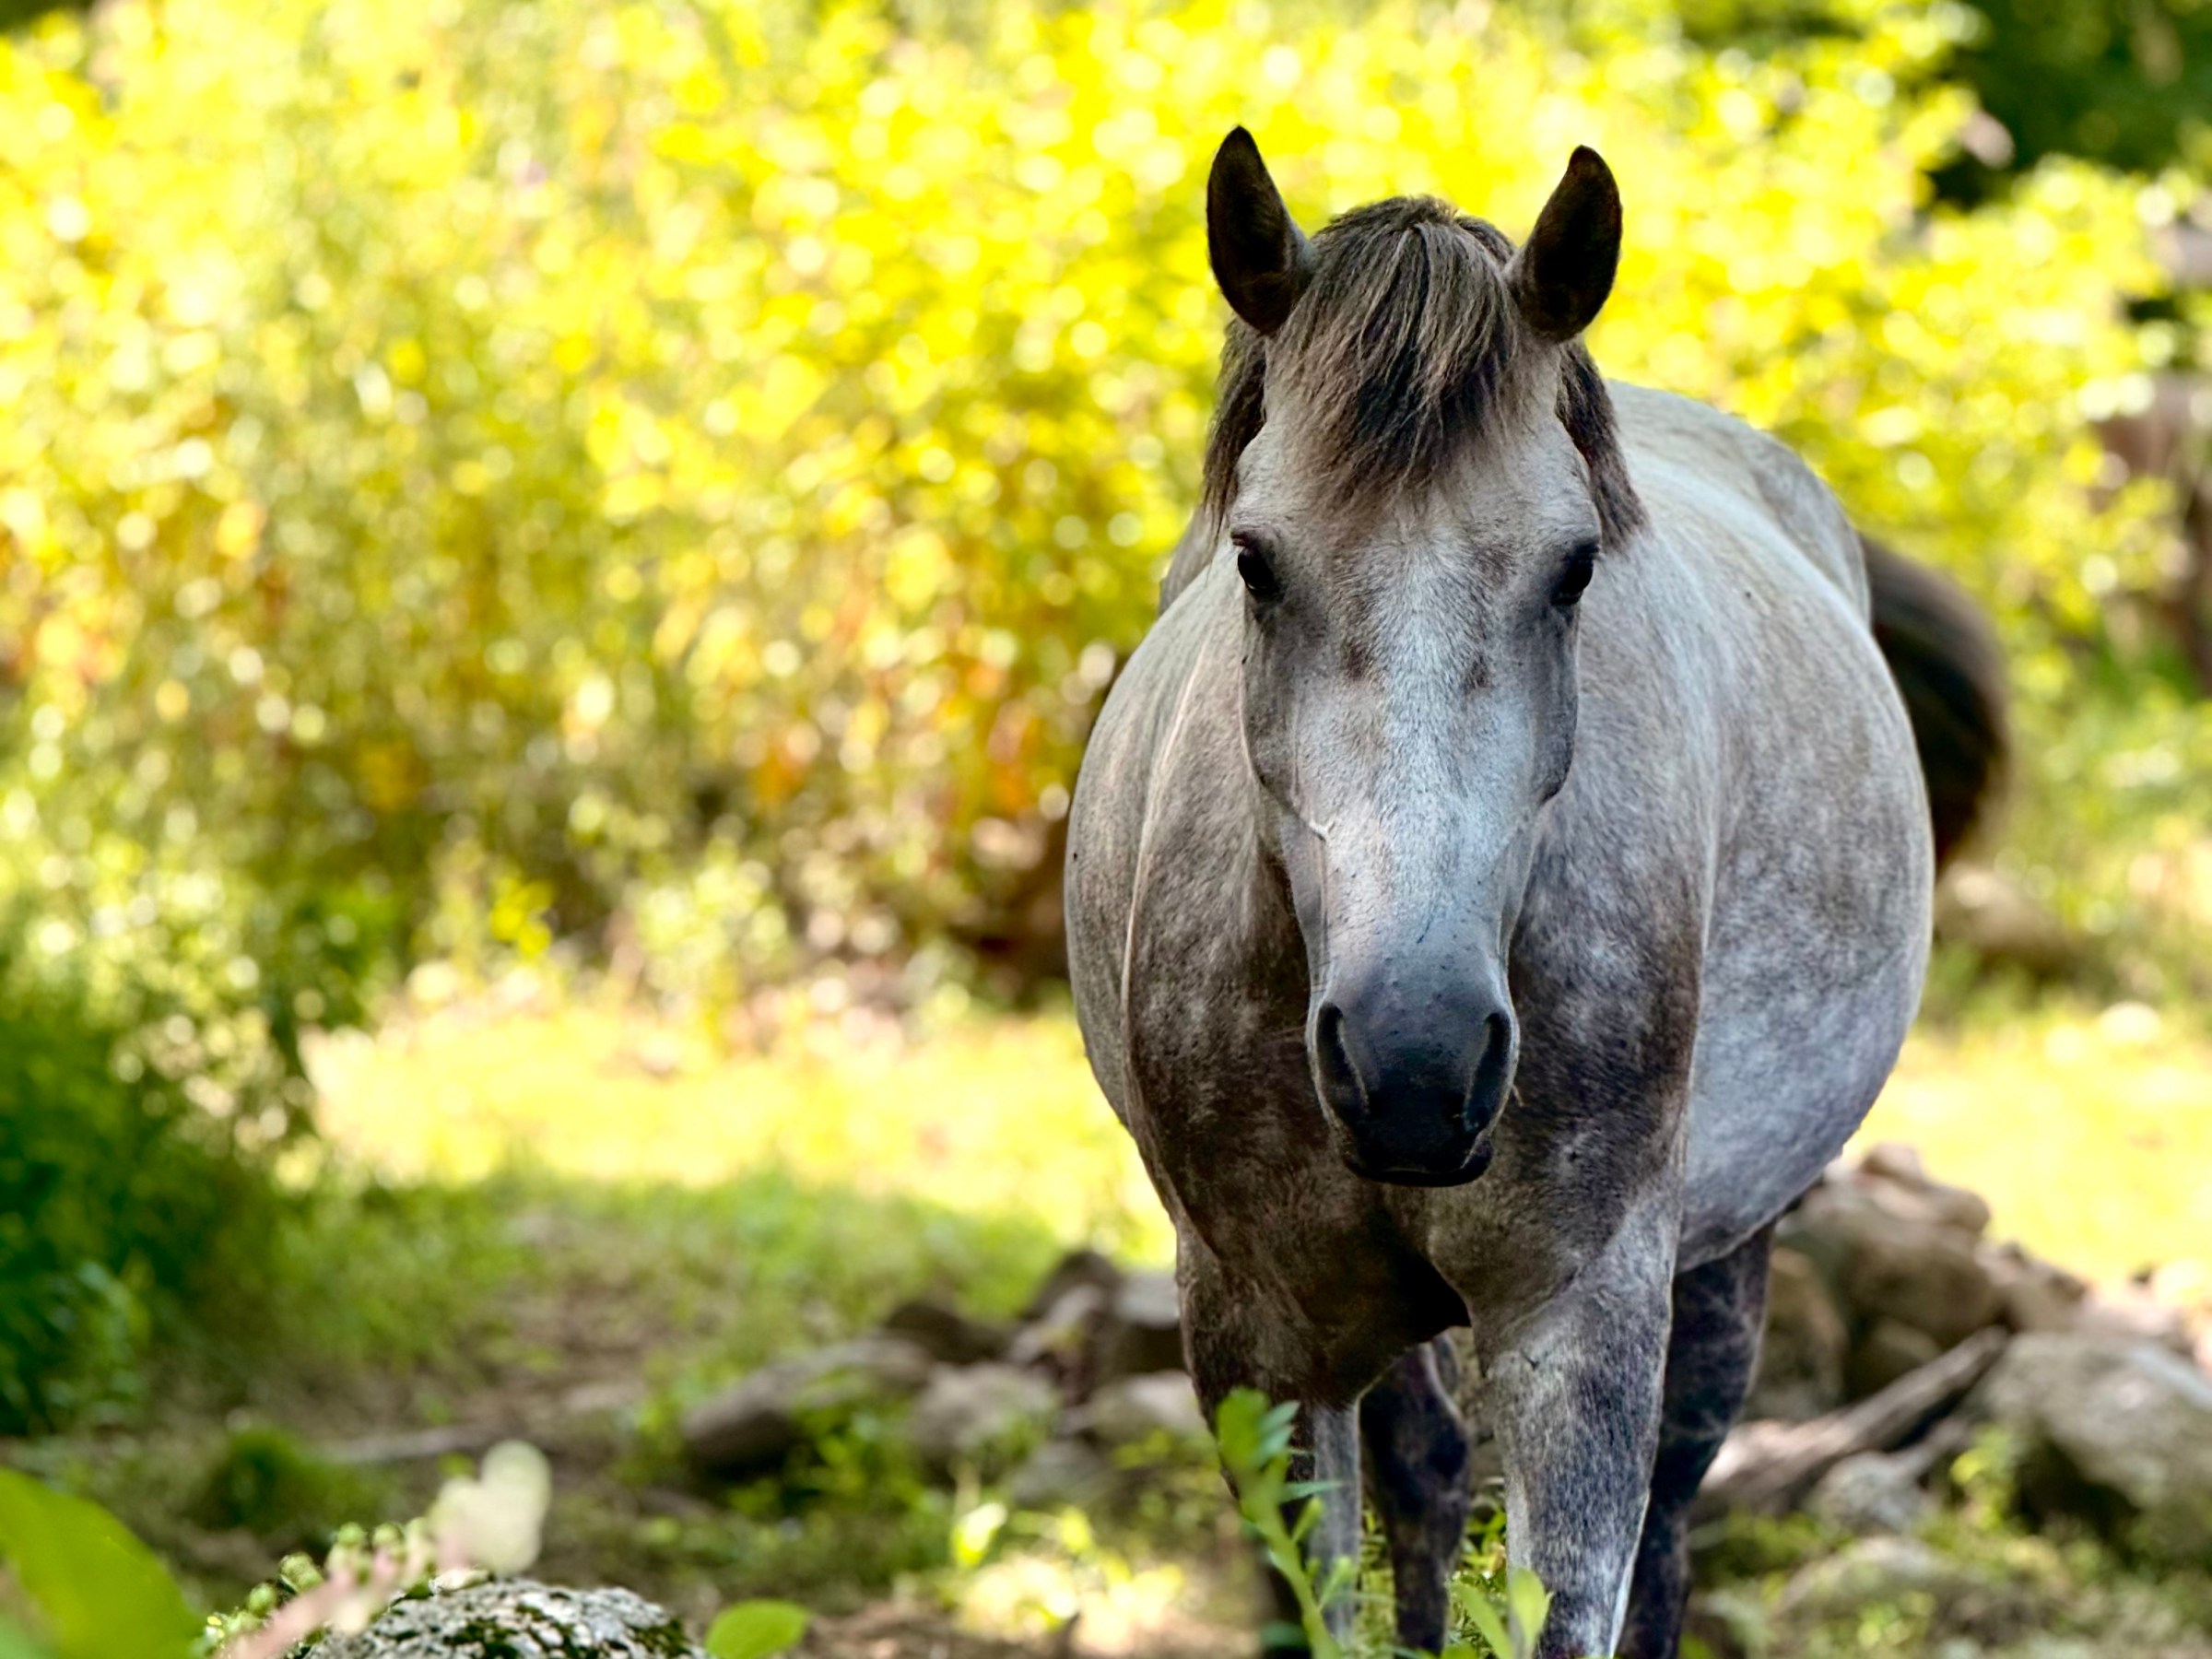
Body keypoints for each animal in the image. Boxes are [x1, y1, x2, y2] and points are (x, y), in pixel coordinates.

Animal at [1064, 129, 2005, 1658]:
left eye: (1574, 570)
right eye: (1255, 560)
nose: (1416, 1060)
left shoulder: (1580, 1328)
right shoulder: (1257, 1335)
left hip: (1727, 1265)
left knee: (1673, 1516)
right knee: (1431, 1476)